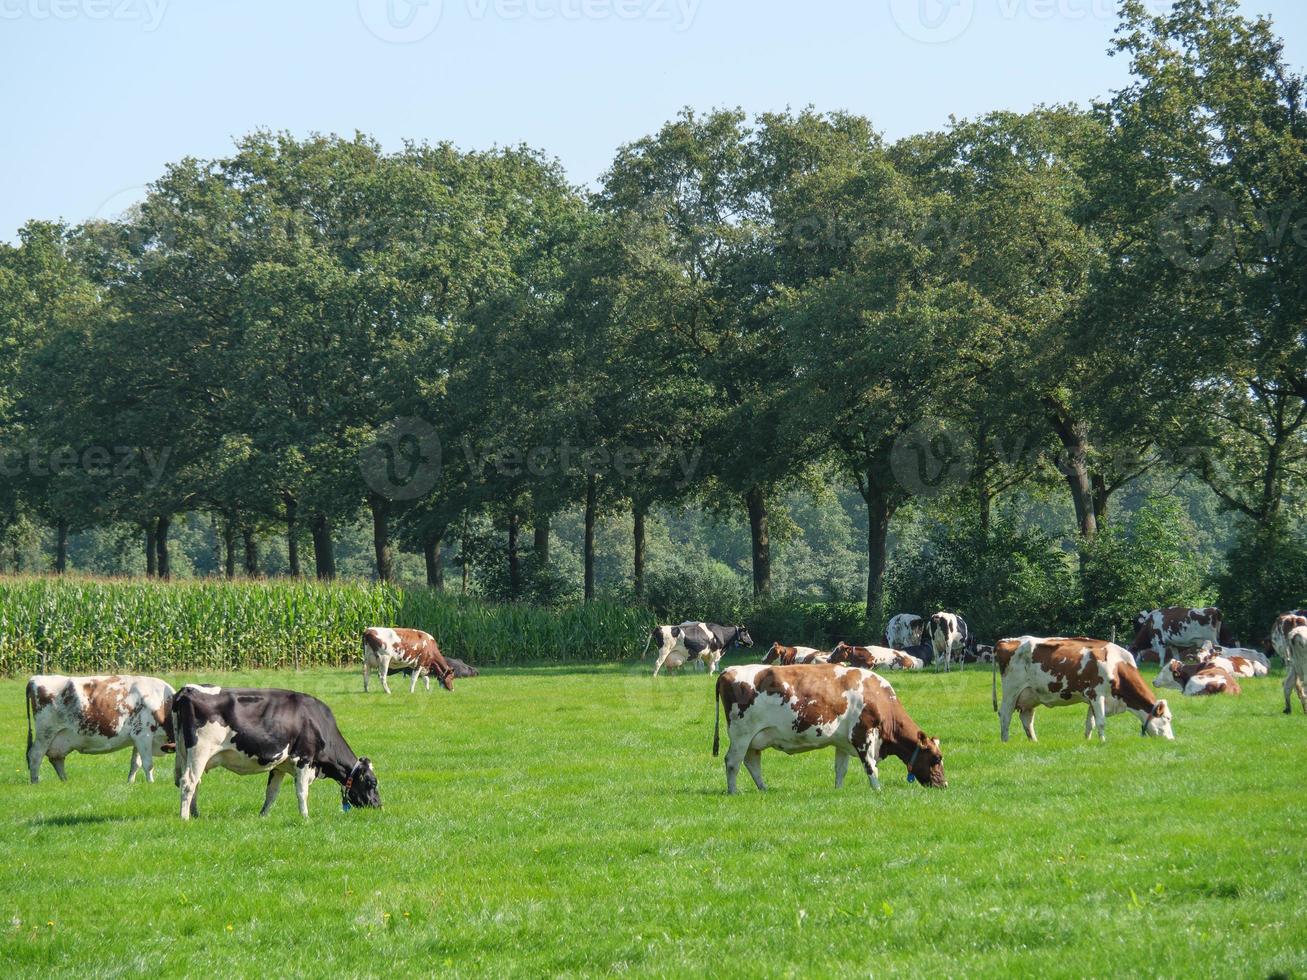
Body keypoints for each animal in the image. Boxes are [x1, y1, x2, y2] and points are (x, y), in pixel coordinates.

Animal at [26, 674, 176, 789]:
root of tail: (34, 678)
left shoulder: (138, 738)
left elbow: (135, 764)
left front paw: (130, 782)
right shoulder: (144, 734)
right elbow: (148, 764)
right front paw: (151, 783)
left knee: (56, 759)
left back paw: (65, 781)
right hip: (45, 733)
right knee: (35, 755)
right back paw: (35, 782)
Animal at [172, 684, 381, 825]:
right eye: (372, 783)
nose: (379, 805)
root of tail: (187, 689)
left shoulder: (279, 765)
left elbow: (272, 793)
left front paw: (263, 816)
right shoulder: (304, 758)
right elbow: (302, 792)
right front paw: (305, 817)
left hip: (184, 754)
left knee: (194, 782)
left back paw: (196, 814)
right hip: (199, 750)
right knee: (188, 782)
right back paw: (184, 818)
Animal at [711, 663, 946, 794]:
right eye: (936, 758)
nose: (944, 785)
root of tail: (728, 670)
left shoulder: (843, 742)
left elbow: (841, 769)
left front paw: (838, 790)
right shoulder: (863, 735)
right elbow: (871, 767)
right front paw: (878, 790)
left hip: (754, 738)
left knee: (752, 762)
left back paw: (763, 789)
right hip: (741, 734)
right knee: (732, 762)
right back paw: (733, 791)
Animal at [988, 637, 1176, 742]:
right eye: (1167, 718)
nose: (1171, 740)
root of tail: (1005, 641)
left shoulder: (1094, 699)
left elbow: (1090, 723)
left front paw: (1087, 741)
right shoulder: (1096, 694)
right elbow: (1101, 722)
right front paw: (1103, 742)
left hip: (1031, 695)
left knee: (1026, 718)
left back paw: (1034, 741)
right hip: (1011, 690)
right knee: (1005, 715)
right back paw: (1005, 741)